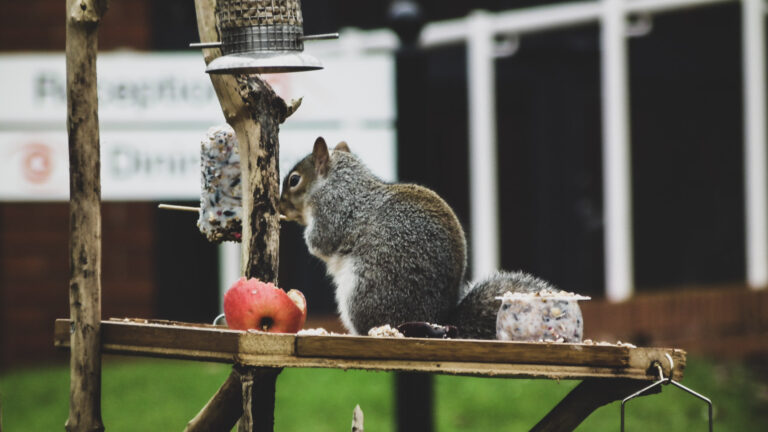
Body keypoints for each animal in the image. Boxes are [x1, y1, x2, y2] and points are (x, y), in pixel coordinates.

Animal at [280, 137, 556, 340]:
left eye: (294, 180)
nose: (279, 204)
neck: (339, 180)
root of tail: (440, 322)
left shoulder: (333, 211)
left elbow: (319, 242)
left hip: (362, 293)